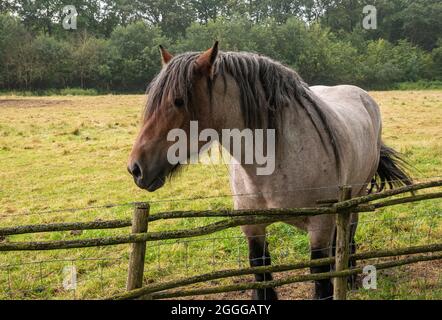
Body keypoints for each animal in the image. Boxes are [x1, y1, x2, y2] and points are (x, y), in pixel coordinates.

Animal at [126, 42, 412, 300]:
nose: (135, 168)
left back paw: (349, 277)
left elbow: (320, 279)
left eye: (178, 100)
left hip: (355, 197)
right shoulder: (253, 226)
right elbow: (261, 272)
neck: (274, 162)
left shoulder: (319, 225)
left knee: (349, 232)